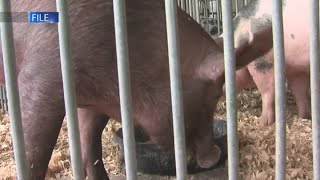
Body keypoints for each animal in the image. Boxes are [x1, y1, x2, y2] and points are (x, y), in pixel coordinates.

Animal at [7, 0, 262, 179]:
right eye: (215, 95)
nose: (214, 156)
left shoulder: (95, 99)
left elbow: (91, 141)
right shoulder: (40, 78)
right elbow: (33, 153)